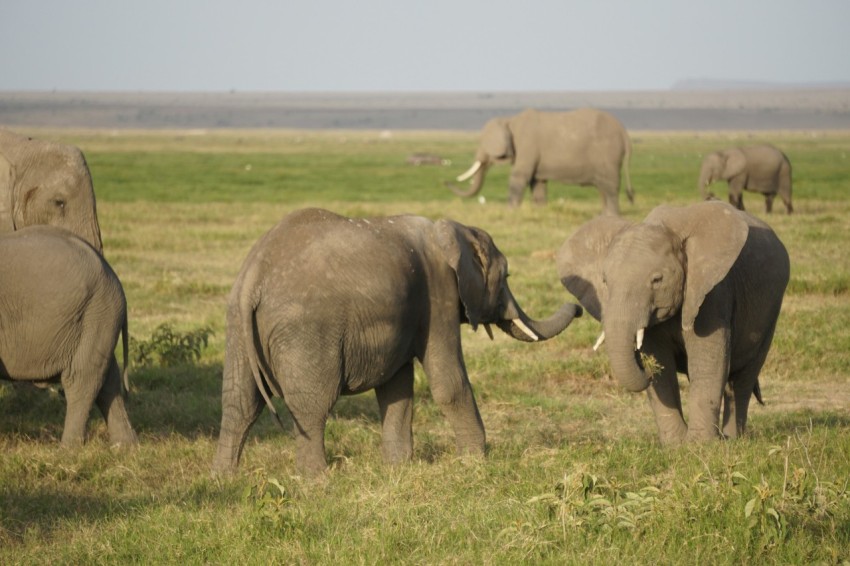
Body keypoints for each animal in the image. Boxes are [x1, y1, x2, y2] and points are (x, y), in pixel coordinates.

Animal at [0, 225, 136, 447]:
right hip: (98, 319)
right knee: (108, 380)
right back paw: (124, 447)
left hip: (93, 316)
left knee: (80, 379)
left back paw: (67, 449)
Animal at [213, 207, 582, 475]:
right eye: (506, 276)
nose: (578, 307)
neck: (450, 229)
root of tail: (254, 276)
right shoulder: (438, 295)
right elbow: (448, 382)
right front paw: (475, 463)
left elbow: (397, 387)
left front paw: (398, 468)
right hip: (304, 330)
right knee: (312, 406)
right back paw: (316, 482)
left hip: (238, 328)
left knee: (239, 404)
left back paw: (225, 479)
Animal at [447, 108, 634, 215]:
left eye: (483, 147)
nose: (446, 182)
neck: (510, 120)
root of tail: (624, 132)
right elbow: (538, 183)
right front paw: (540, 211)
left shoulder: (526, 145)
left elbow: (519, 177)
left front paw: (510, 212)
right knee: (603, 187)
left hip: (608, 154)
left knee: (609, 187)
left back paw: (611, 216)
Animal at [556, 201, 789, 445]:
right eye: (604, 281)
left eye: (657, 280)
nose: (642, 366)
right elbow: (662, 367)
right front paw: (675, 445)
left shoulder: (712, 292)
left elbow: (708, 363)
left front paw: (700, 446)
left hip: (771, 309)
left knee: (743, 379)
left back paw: (732, 439)